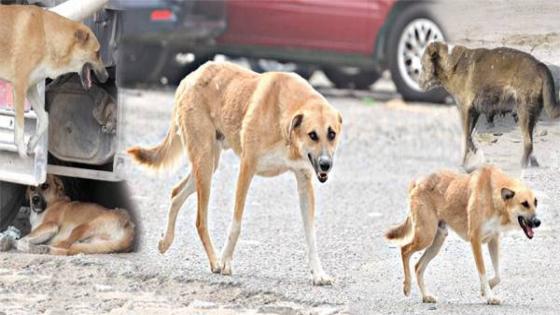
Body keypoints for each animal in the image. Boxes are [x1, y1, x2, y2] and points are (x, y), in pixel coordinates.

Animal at [0, 4, 109, 157]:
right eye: (97, 53)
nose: (107, 77)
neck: (46, 36)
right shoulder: (20, 87)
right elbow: (20, 128)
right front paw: (22, 153)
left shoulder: (30, 88)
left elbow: (45, 118)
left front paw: (32, 143)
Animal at [129, 61, 344, 286]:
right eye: (312, 135)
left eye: (332, 134)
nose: (326, 165)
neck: (285, 130)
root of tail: (191, 76)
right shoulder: (246, 169)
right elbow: (236, 225)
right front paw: (225, 262)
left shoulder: (304, 180)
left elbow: (311, 234)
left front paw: (318, 273)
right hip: (204, 163)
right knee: (200, 221)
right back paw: (214, 261)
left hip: (208, 165)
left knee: (175, 193)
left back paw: (166, 241)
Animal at [388, 167, 540, 304]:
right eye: (524, 204)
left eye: (535, 202)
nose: (538, 222)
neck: (493, 196)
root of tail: (417, 183)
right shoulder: (475, 240)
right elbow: (483, 272)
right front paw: (489, 296)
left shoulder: (494, 240)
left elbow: (498, 275)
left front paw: (485, 289)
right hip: (426, 236)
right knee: (404, 250)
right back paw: (407, 286)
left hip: (437, 241)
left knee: (418, 266)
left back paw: (426, 296)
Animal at [418, 42, 556, 170]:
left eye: (423, 66)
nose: (418, 84)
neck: (452, 65)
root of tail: (539, 65)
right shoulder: (474, 112)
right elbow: (469, 137)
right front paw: (474, 154)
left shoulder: (464, 110)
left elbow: (465, 138)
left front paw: (464, 162)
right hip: (531, 116)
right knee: (531, 143)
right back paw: (534, 164)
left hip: (523, 113)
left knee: (528, 143)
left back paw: (522, 166)